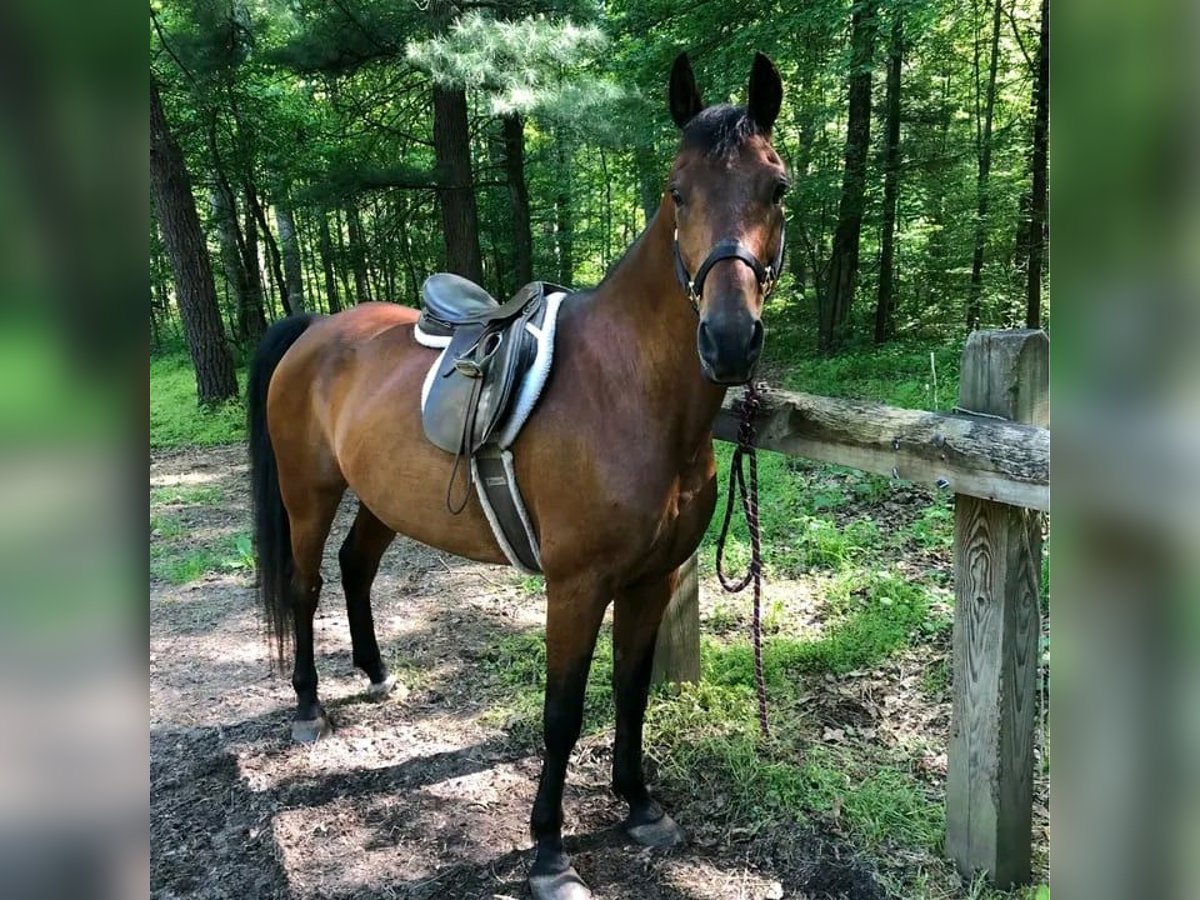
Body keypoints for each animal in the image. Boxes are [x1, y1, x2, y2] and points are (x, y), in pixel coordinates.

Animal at [246, 51, 787, 900]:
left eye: (778, 187)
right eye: (677, 191)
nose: (729, 340)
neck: (626, 389)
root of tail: (318, 329)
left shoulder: (653, 578)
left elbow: (631, 690)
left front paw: (639, 806)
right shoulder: (577, 584)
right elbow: (561, 714)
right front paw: (549, 853)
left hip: (382, 500)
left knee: (356, 567)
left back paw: (375, 673)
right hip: (309, 494)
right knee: (306, 587)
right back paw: (307, 708)